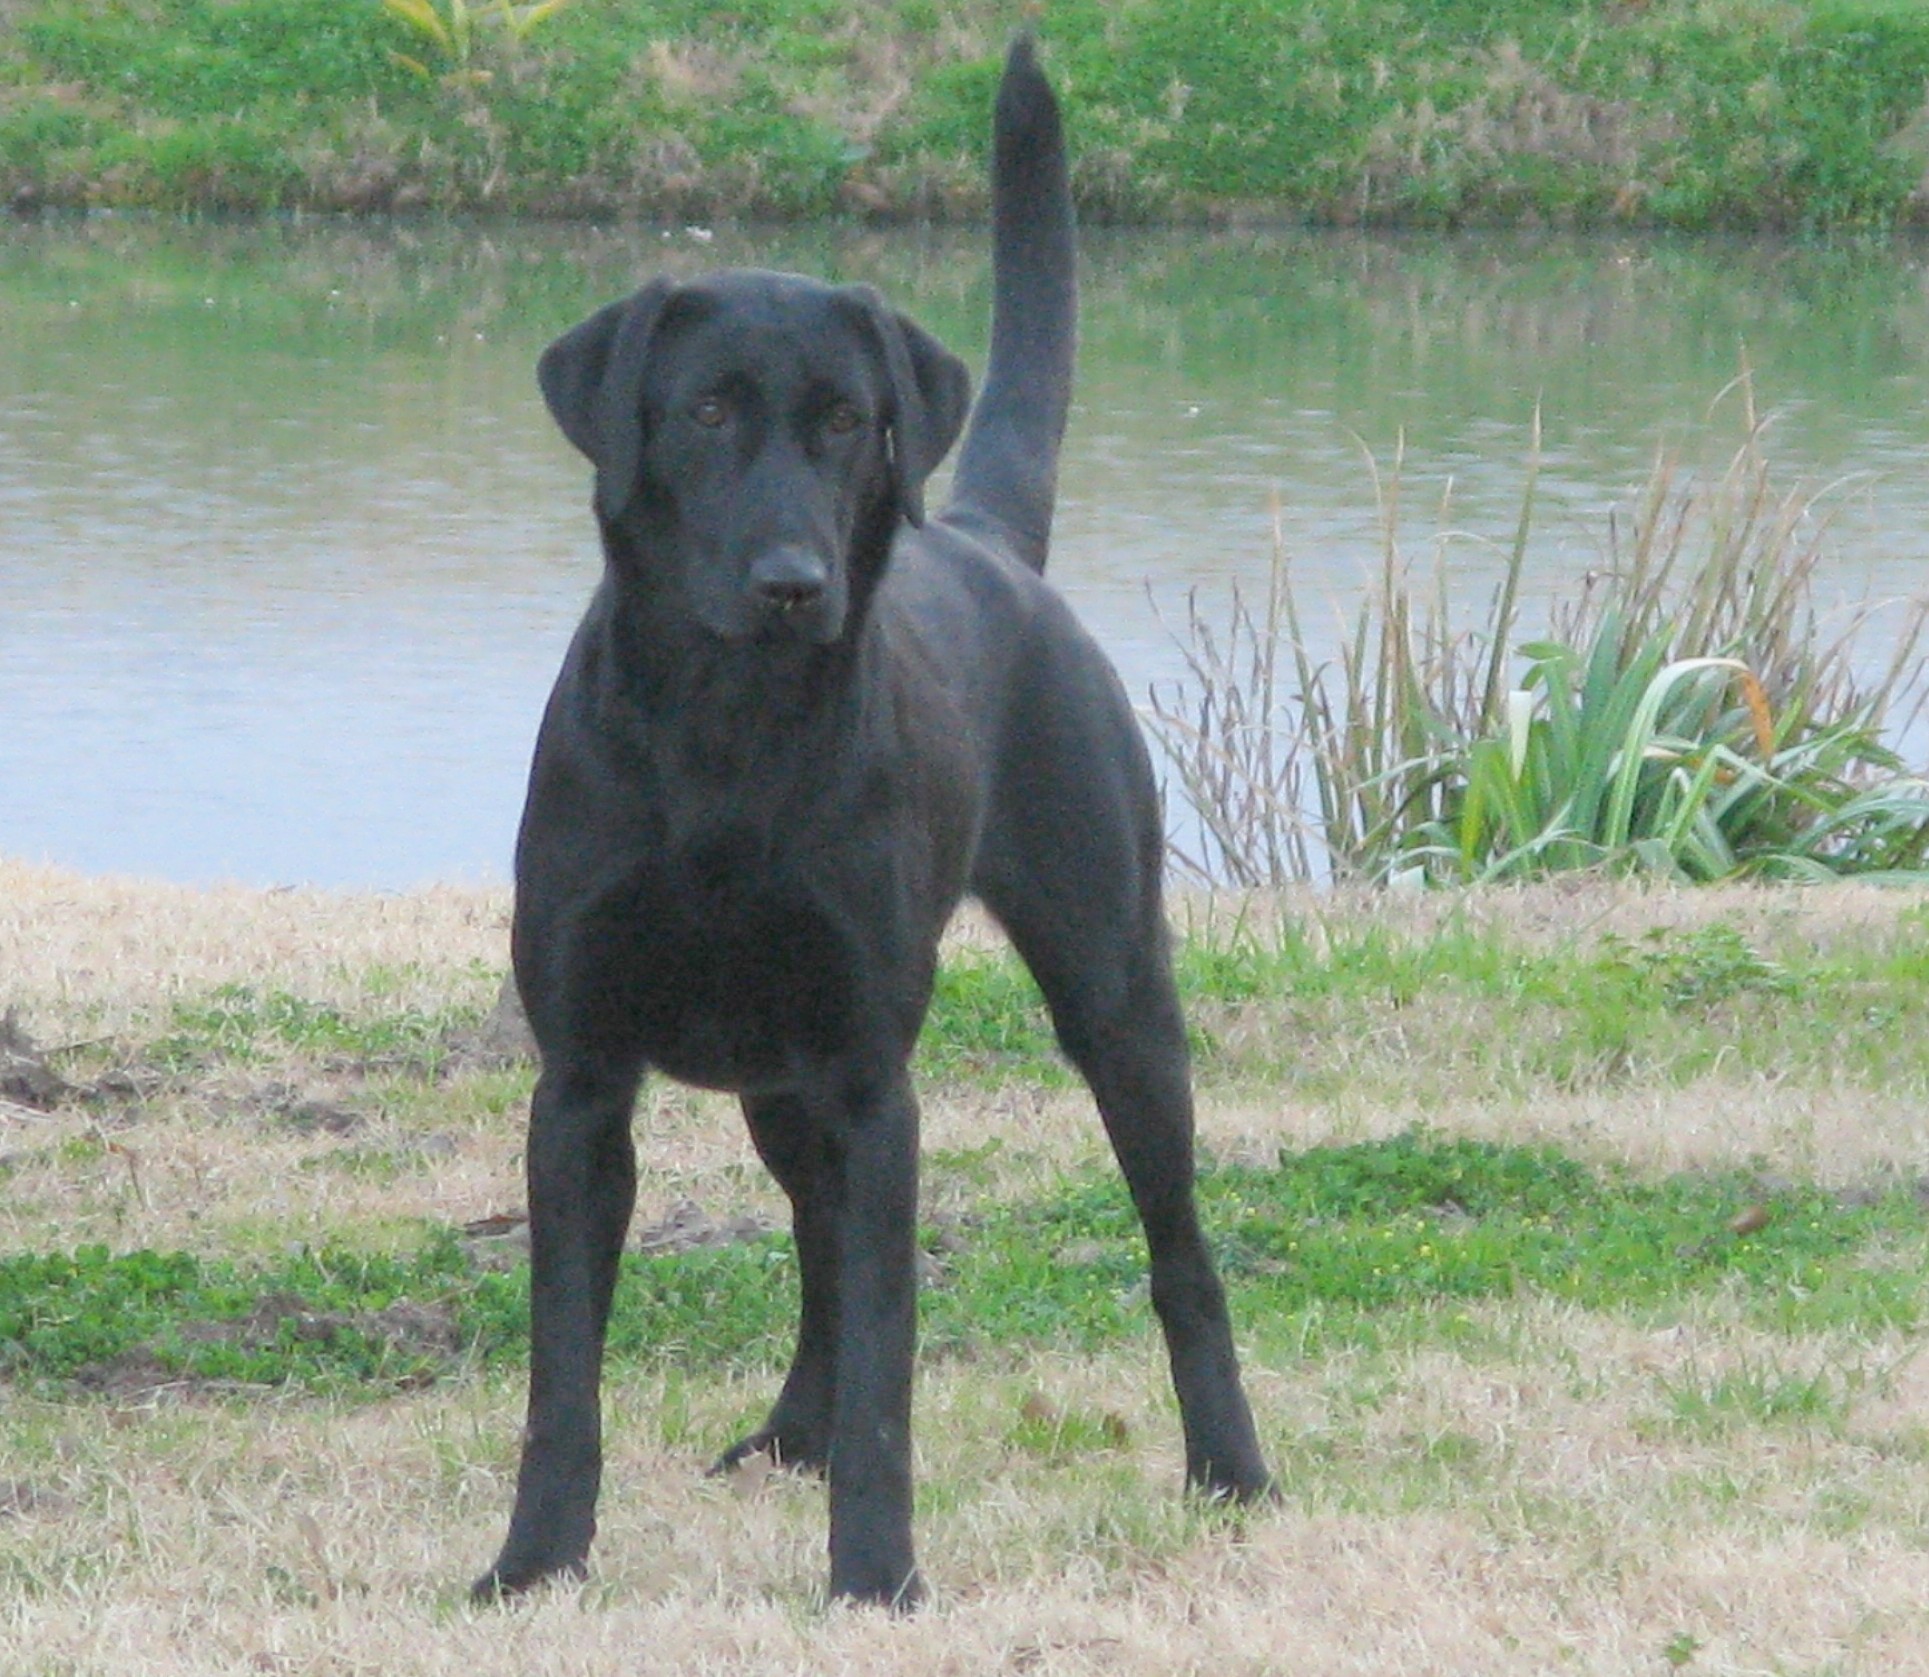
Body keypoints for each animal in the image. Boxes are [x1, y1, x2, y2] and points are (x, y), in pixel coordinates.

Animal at [474, 42, 1273, 1613]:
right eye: (705, 412)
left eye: (847, 420)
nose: (792, 582)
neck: (726, 743)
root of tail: (983, 536)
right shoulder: (582, 1083)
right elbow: (563, 1376)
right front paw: (534, 1564)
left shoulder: (871, 1077)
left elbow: (891, 1360)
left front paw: (876, 1575)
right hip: (779, 1078)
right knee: (816, 1240)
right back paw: (790, 1431)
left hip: (1113, 992)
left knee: (1178, 1251)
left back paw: (1230, 1468)